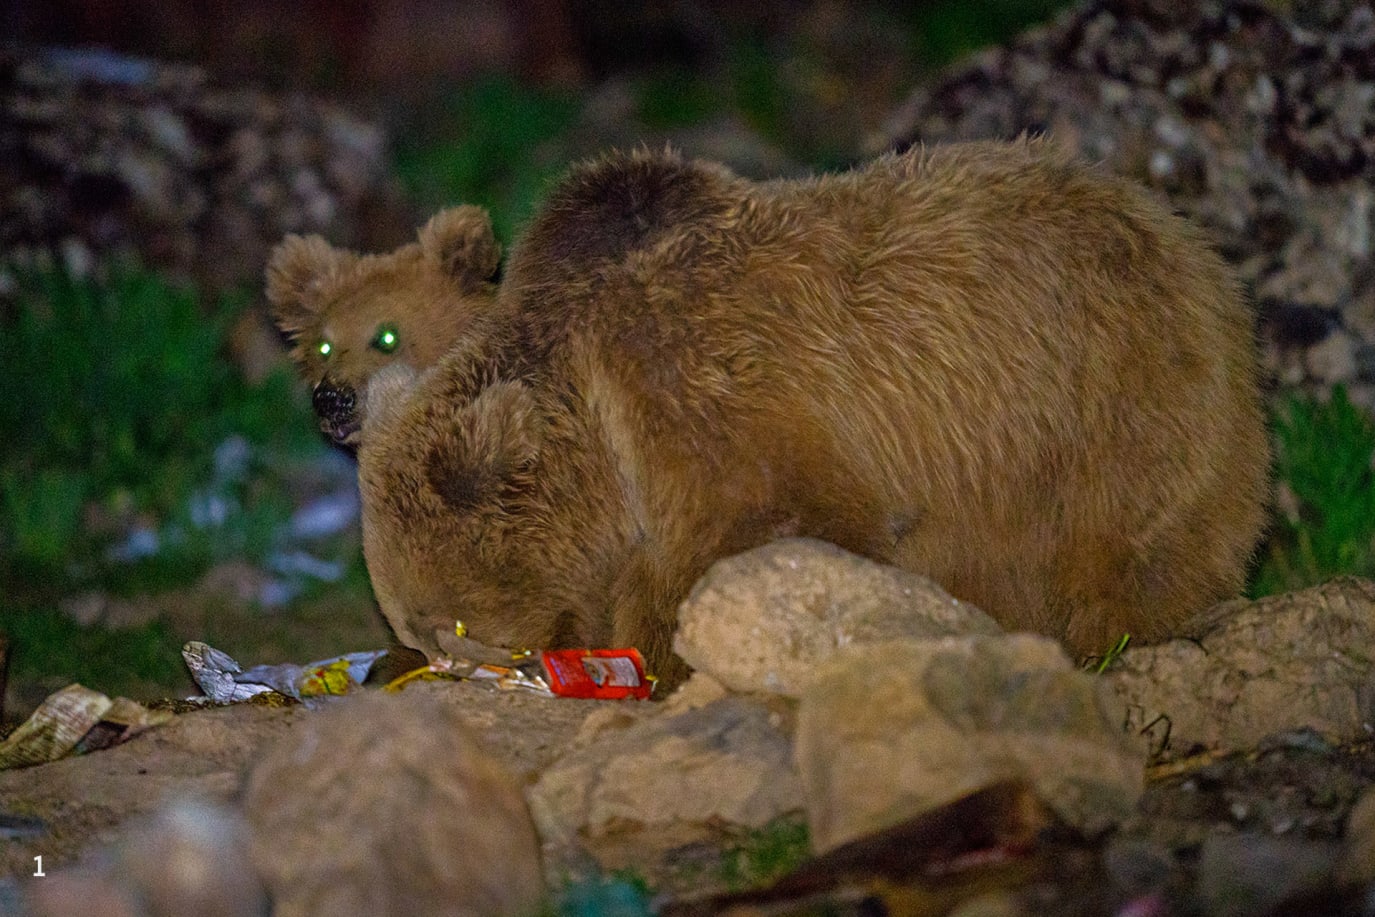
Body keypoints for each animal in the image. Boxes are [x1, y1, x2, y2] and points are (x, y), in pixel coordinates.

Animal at [353, 139, 1270, 689]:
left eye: (447, 621)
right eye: (413, 624)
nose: (438, 661)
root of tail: (1188, 238)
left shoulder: (708, 392)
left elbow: (771, 525)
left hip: (1100, 389)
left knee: (1121, 536)